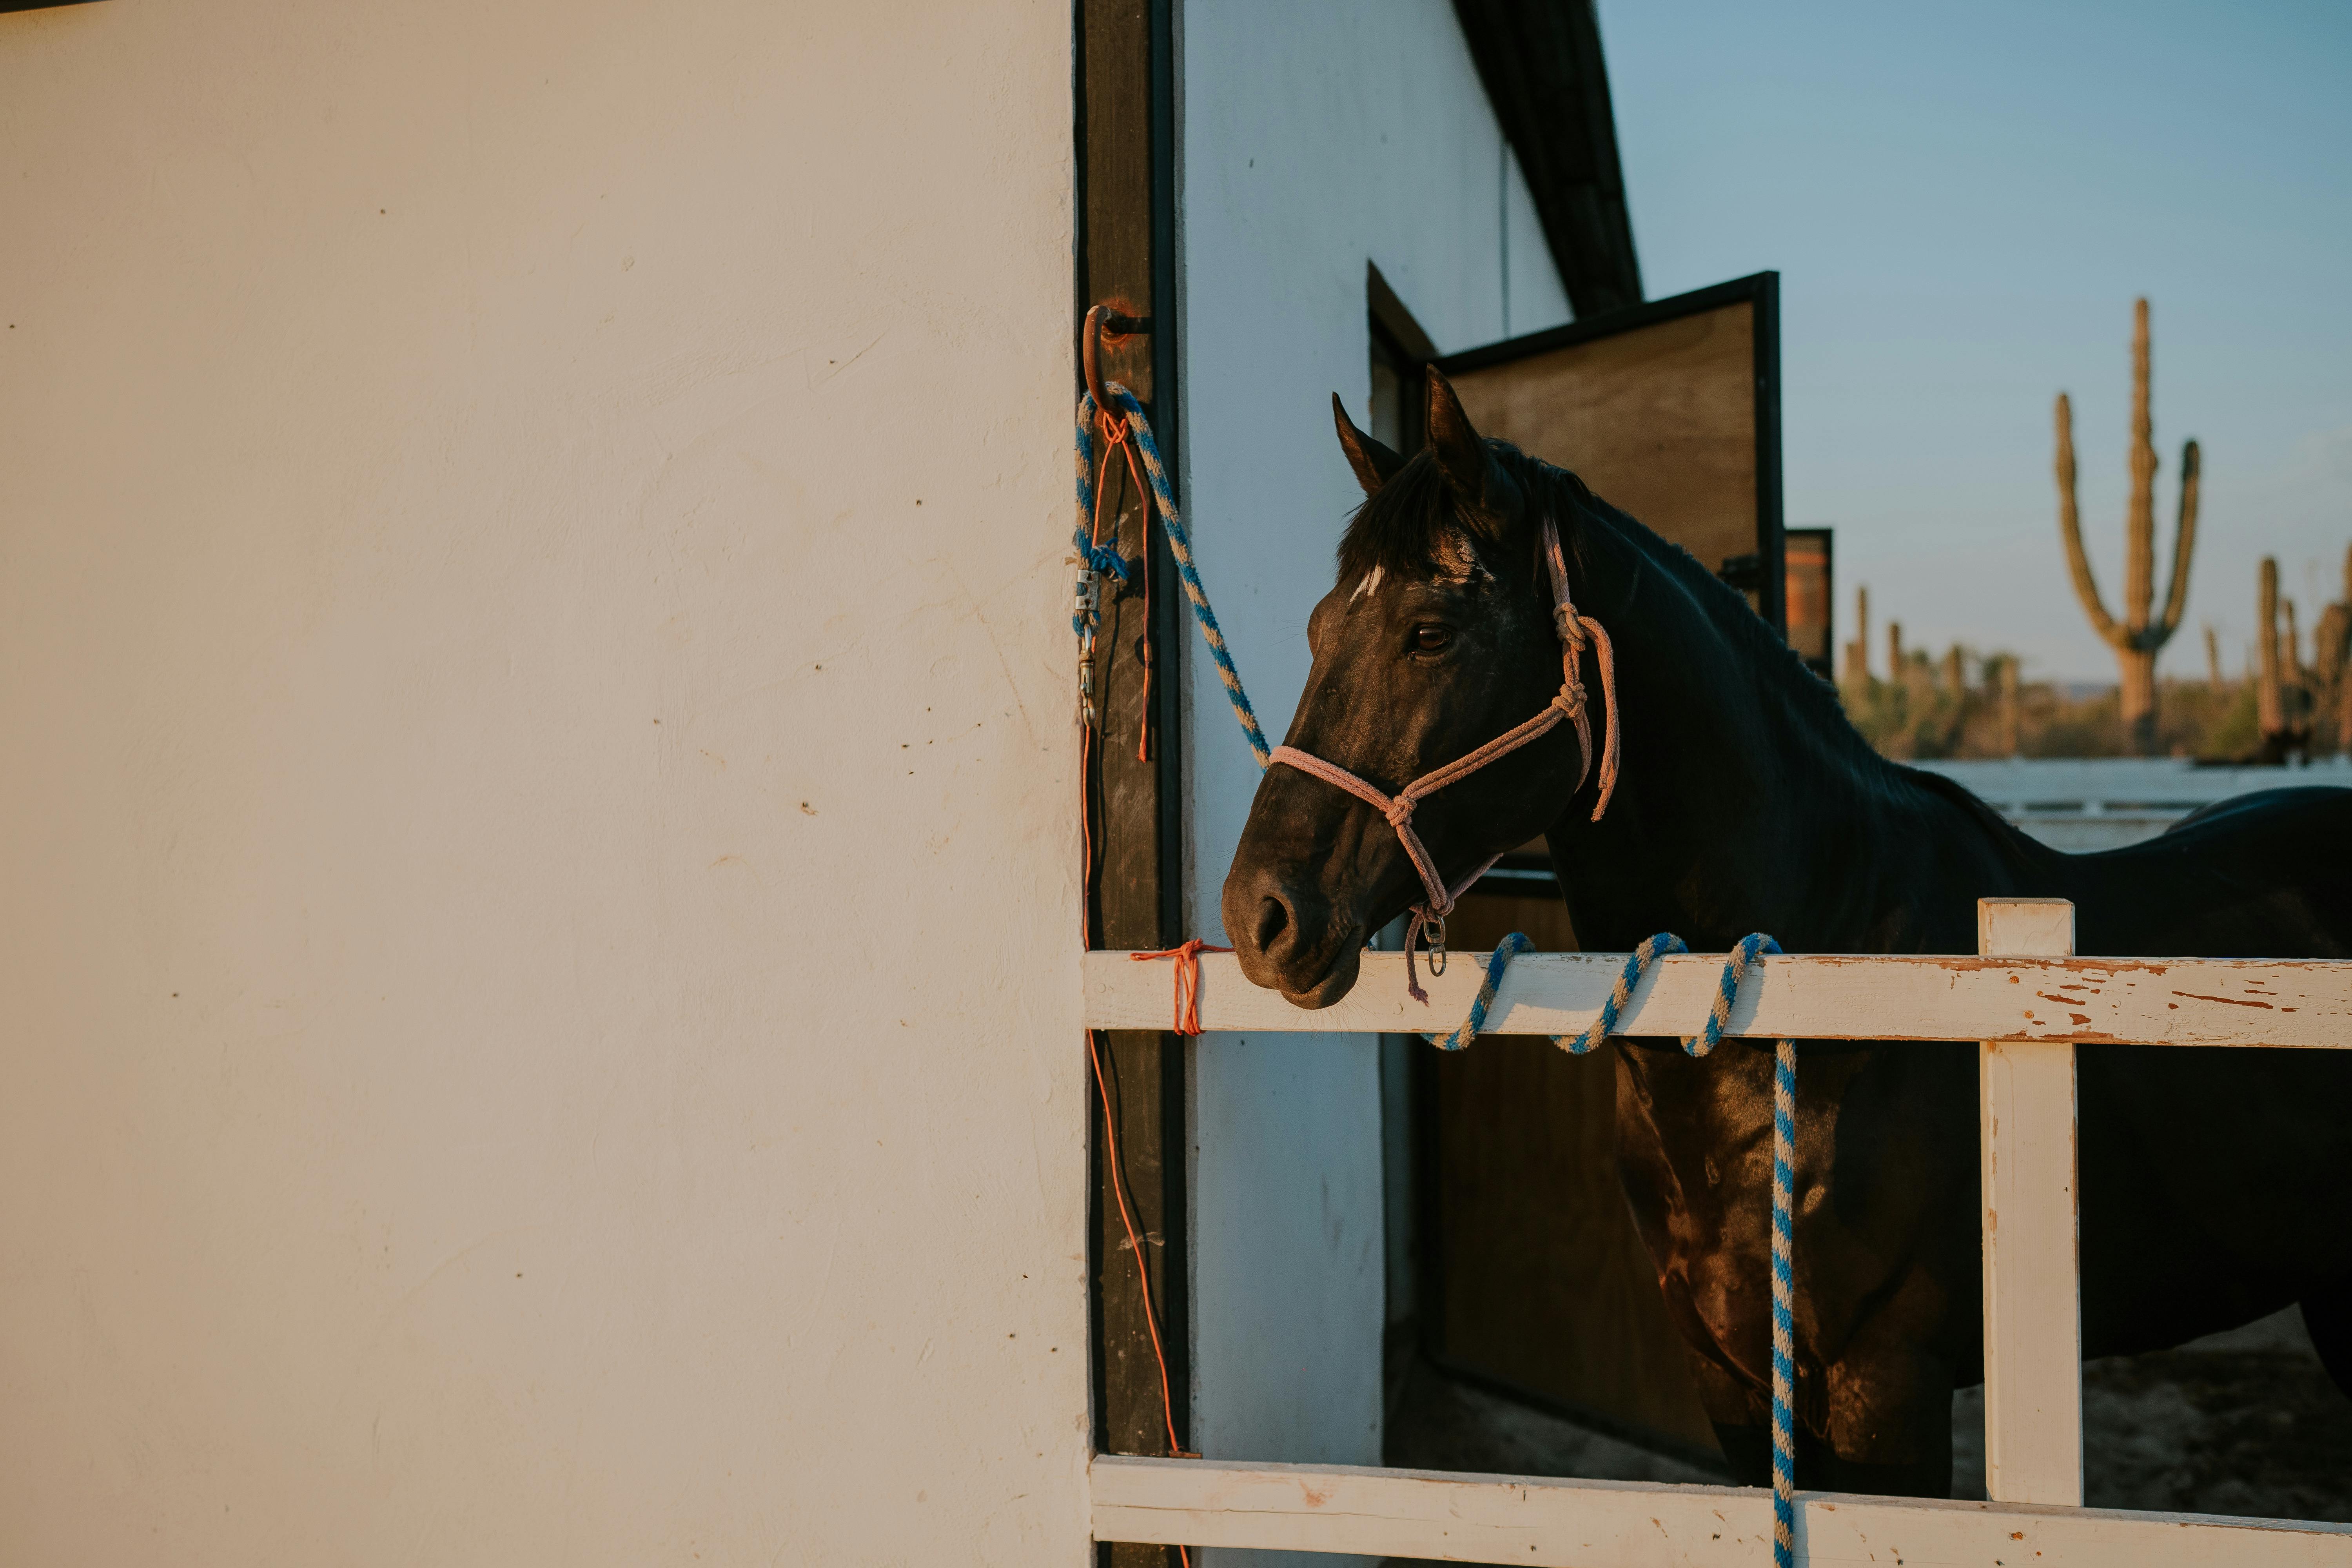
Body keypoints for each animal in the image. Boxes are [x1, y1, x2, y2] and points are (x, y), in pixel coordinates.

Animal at [1223, 364, 2352, 1495]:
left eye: (1430, 632)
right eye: (1318, 628)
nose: (1259, 913)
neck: (1829, 991)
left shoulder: (1887, 1378)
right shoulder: (1727, 1374)